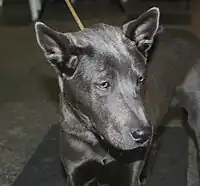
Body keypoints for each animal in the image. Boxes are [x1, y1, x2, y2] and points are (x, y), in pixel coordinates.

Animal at [35, 6, 200, 186]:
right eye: (104, 84)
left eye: (140, 79)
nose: (143, 135)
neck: (99, 141)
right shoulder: (75, 174)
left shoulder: (129, 174)